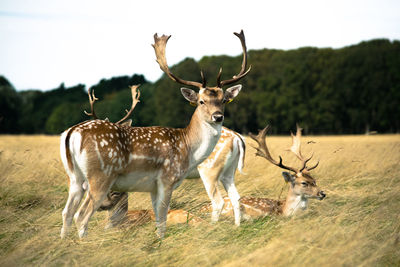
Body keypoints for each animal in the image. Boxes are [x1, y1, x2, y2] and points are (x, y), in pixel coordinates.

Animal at [59, 30, 250, 240]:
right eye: (201, 101)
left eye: (224, 100)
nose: (218, 116)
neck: (187, 147)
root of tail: (72, 133)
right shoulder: (167, 178)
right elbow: (163, 219)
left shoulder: (152, 186)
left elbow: (159, 219)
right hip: (101, 176)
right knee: (81, 215)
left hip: (75, 178)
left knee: (66, 212)